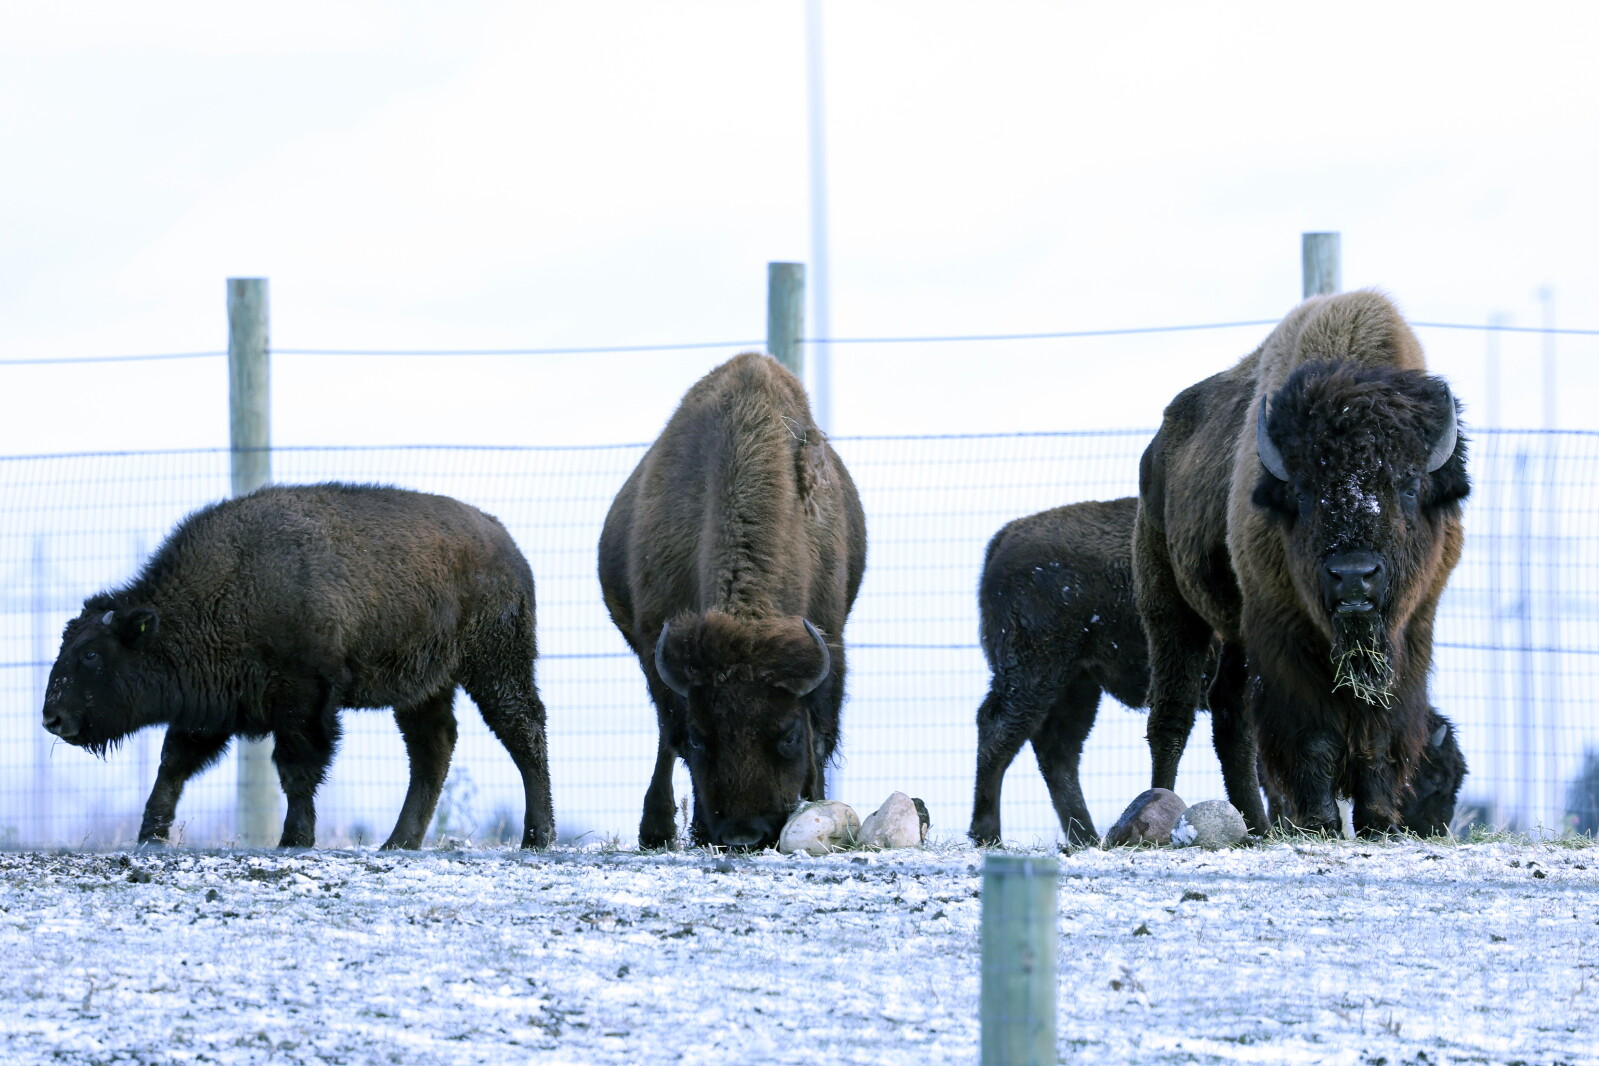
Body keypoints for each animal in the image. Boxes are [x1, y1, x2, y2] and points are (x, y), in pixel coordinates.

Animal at [42, 483, 554, 850]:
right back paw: (398, 843)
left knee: (523, 731)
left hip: (495, 666)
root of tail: (508, 546)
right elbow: (173, 764)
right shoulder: (209, 711)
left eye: (91, 653)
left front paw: (295, 838)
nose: (53, 717)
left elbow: (296, 769)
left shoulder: (303, 701)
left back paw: (536, 837)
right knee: (433, 748)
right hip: (425, 687)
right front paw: (150, 835)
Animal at [599, 352, 866, 850]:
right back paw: (657, 829)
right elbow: (673, 736)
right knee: (663, 739)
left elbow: (822, 733)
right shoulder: (658, 649)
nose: (744, 836)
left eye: (787, 736)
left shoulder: (829, 640)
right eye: (703, 738)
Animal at [971, 496, 1465, 846]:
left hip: (1078, 685)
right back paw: (987, 834)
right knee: (999, 732)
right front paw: (1282, 825)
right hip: (1037, 671)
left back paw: (1085, 836)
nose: (1435, 829)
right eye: (1435, 778)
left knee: (1058, 752)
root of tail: (1005, 539)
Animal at [1135, 290, 1468, 836]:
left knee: (1230, 720)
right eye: (1304, 493)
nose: (1353, 577)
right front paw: (1321, 821)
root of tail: (1158, 444)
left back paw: (1254, 826)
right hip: (1170, 608)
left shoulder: (1411, 630)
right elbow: (1313, 732)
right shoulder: (1283, 629)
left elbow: (1378, 728)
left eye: (1409, 486)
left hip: (1235, 635)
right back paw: (1159, 801)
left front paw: (1378, 821)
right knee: (1173, 713)